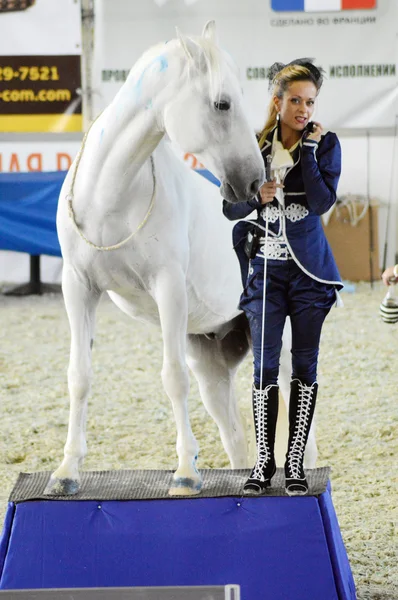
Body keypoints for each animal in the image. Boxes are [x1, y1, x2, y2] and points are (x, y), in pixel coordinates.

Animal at [44, 21, 318, 496]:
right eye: (222, 102)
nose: (253, 182)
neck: (110, 198)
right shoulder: (78, 287)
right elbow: (79, 376)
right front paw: (67, 471)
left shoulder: (168, 287)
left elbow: (172, 378)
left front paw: (186, 473)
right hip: (213, 366)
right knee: (235, 436)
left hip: (282, 349)